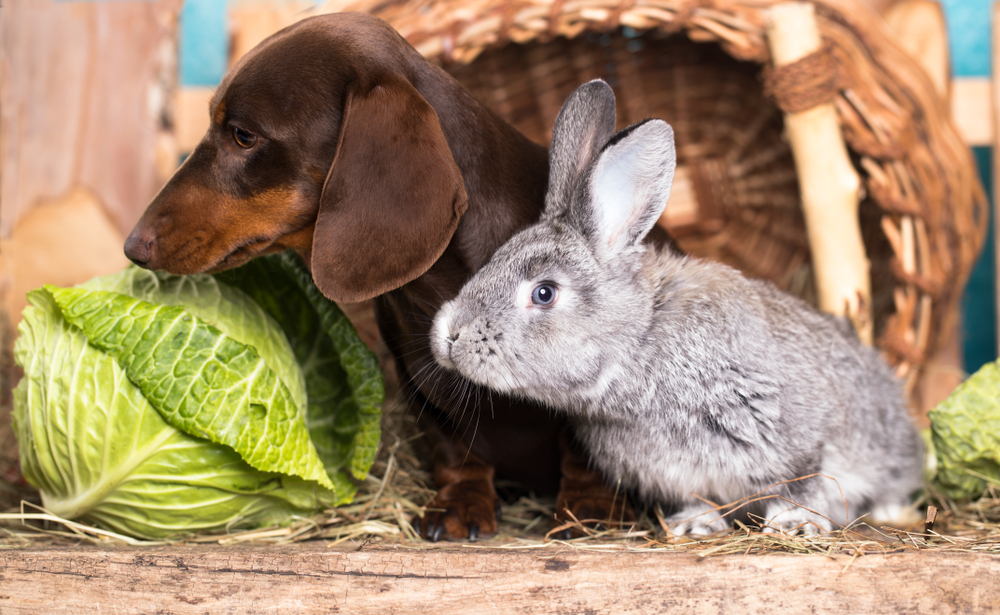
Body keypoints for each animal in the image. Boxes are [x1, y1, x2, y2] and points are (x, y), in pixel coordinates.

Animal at [123, 12, 624, 540]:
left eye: (242, 135)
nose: (132, 246)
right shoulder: (421, 386)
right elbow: (455, 448)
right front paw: (461, 503)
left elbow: (588, 451)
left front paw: (590, 509)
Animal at [428, 80, 920, 536]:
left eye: (544, 292)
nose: (448, 334)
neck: (641, 339)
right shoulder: (677, 475)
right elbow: (698, 498)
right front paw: (693, 525)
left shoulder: (795, 436)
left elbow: (802, 483)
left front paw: (794, 524)